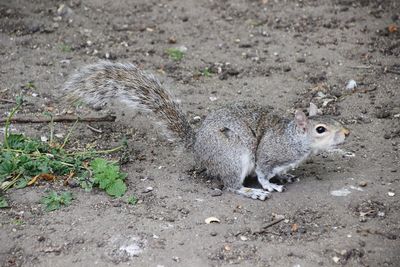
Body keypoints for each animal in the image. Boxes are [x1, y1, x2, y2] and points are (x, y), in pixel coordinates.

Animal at [63, 61, 350, 201]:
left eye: (334, 119)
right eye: (321, 129)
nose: (347, 133)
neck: (294, 139)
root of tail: (198, 149)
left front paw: (286, 176)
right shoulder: (269, 153)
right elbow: (263, 171)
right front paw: (269, 185)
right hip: (233, 157)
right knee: (232, 186)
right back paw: (251, 192)